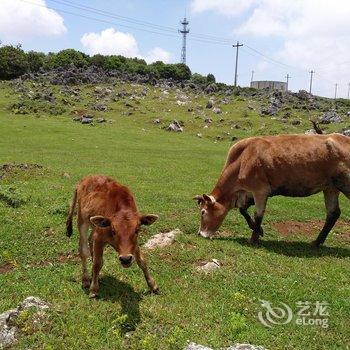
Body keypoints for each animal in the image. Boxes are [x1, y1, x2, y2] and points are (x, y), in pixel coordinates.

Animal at [194, 133, 350, 246]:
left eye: (203, 212)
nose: (200, 234)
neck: (243, 158)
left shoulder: (260, 191)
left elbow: (258, 215)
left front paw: (254, 238)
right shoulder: (249, 193)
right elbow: (243, 210)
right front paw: (259, 231)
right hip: (330, 188)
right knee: (333, 213)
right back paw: (317, 242)